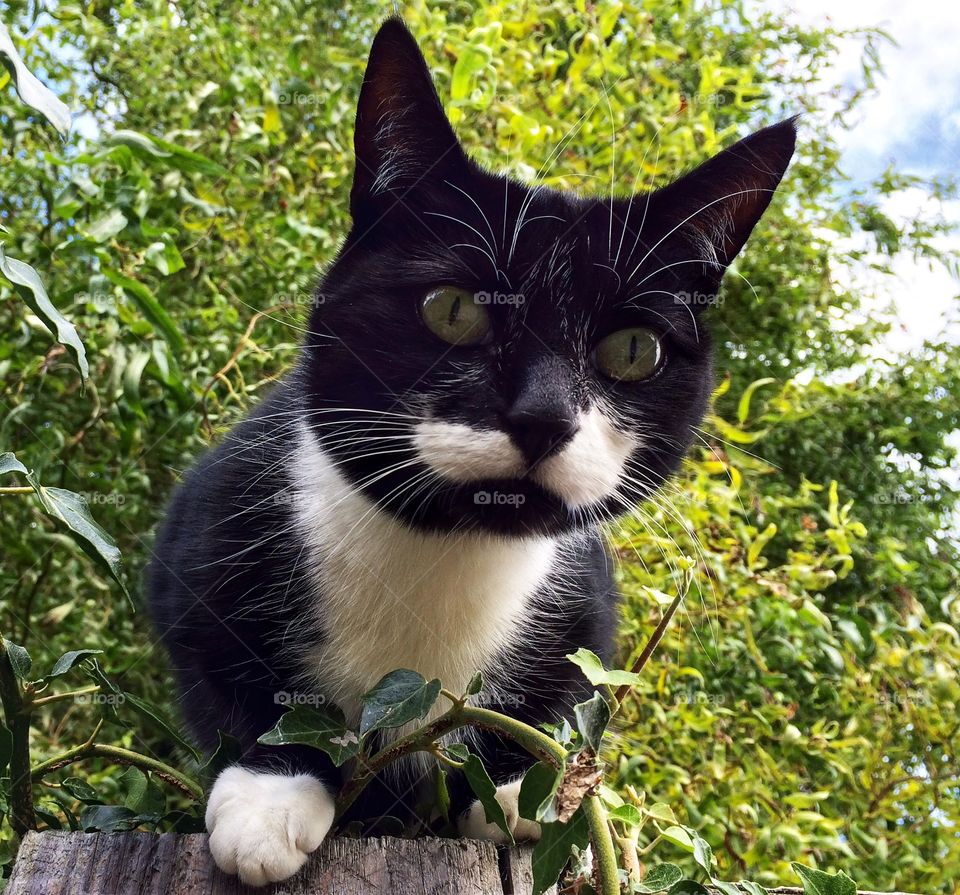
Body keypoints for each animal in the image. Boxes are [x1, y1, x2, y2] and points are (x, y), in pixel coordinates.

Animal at [148, 14, 796, 888]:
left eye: (633, 350)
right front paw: (269, 796)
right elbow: (227, 674)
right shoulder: (200, 534)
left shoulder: (586, 610)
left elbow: (559, 695)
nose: (544, 415)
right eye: (452, 309)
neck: (442, 554)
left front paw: (529, 784)